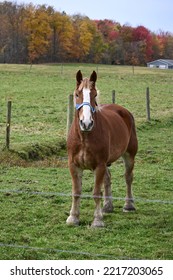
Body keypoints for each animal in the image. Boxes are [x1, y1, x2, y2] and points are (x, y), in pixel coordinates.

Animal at [66, 70, 138, 228]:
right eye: (77, 94)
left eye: (94, 95)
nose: (86, 123)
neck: (85, 137)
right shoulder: (74, 165)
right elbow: (76, 191)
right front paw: (73, 217)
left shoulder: (99, 165)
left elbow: (96, 193)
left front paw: (97, 220)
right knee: (108, 178)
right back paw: (108, 206)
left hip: (129, 155)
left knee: (128, 177)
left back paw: (128, 205)